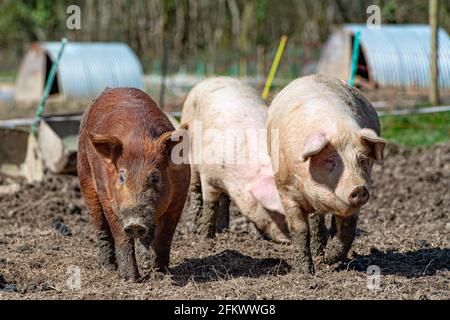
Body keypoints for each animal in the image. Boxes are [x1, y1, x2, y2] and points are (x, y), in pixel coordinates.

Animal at [77, 87, 190, 280]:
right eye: (122, 177)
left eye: (155, 177)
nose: (135, 223)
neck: (139, 140)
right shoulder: (109, 198)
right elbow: (120, 235)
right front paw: (129, 279)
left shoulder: (180, 195)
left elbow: (165, 236)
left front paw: (160, 274)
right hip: (85, 176)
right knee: (100, 226)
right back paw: (108, 267)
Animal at [181, 77, 290, 242]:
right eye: (271, 211)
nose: (287, 240)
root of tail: (213, 78)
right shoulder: (208, 175)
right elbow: (210, 205)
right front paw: (206, 237)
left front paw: (256, 237)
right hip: (190, 154)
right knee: (194, 190)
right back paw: (194, 227)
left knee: (225, 199)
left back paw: (223, 229)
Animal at [268, 74, 386, 272]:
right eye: (331, 161)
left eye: (362, 159)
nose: (359, 189)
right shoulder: (285, 191)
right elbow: (299, 230)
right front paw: (306, 271)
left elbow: (346, 230)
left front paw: (329, 260)